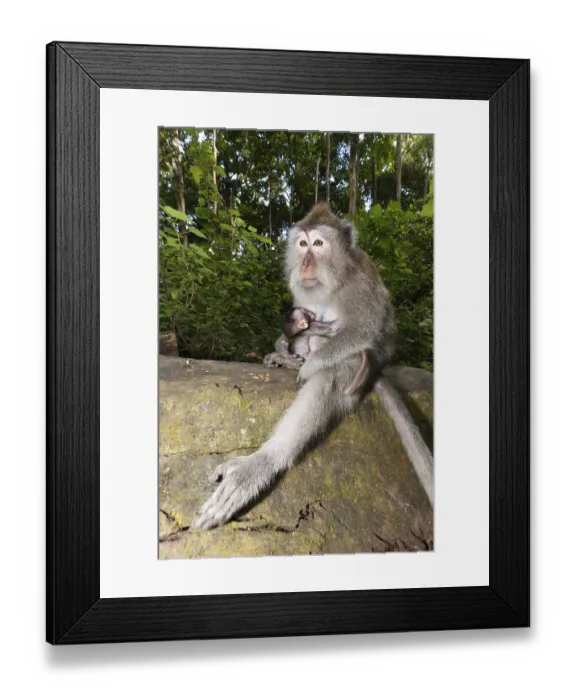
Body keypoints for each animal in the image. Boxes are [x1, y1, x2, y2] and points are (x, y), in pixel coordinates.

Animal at [192, 202, 433, 530]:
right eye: (302, 244)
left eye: (318, 244)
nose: (305, 264)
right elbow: (296, 326)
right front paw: (282, 349)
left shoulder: (359, 286)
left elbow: (365, 331)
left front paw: (308, 366)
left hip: (360, 369)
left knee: (334, 375)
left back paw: (262, 462)